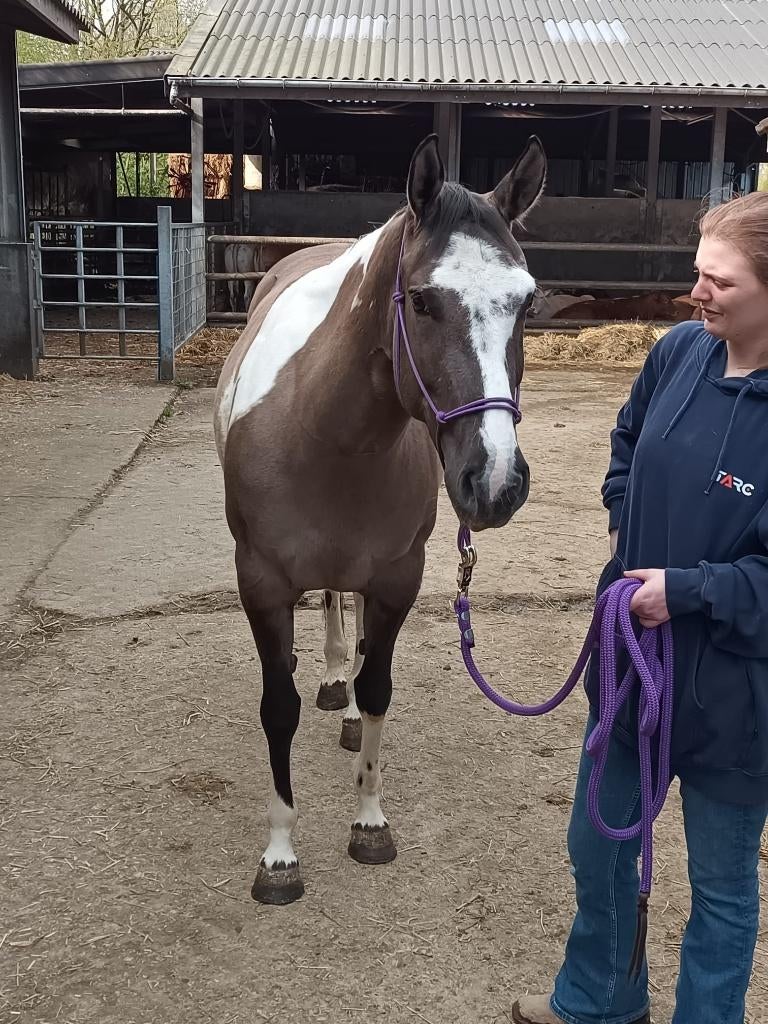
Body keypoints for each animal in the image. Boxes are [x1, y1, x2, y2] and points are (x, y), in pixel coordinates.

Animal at [213, 134, 547, 905]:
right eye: (422, 301)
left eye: (527, 302)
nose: (495, 481)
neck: (323, 429)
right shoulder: (261, 582)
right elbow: (278, 708)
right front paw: (280, 855)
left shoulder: (399, 577)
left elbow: (379, 688)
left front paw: (369, 819)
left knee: (351, 619)